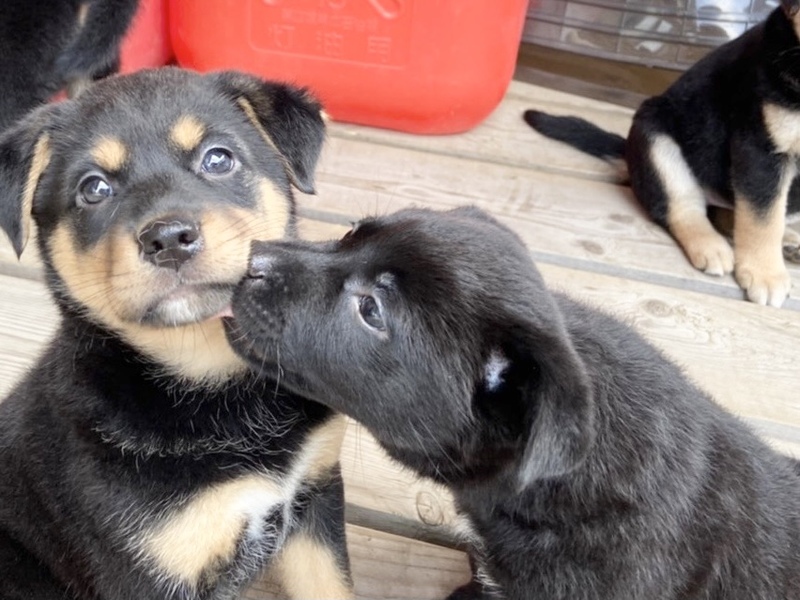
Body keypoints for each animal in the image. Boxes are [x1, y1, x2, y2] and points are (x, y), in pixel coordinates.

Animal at [0, 67, 354, 600]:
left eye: (218, 158)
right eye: (93, 188)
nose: (167, 239)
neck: (214, 384)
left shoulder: (315, 499)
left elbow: (333, 586)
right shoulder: (147, 568)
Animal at [524, 0, 800, 308]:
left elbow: (763, 213)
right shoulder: (761, 148)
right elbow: (763, 218)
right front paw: (766, 274)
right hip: (657, 139)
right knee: (684, 206)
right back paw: (711, 245)